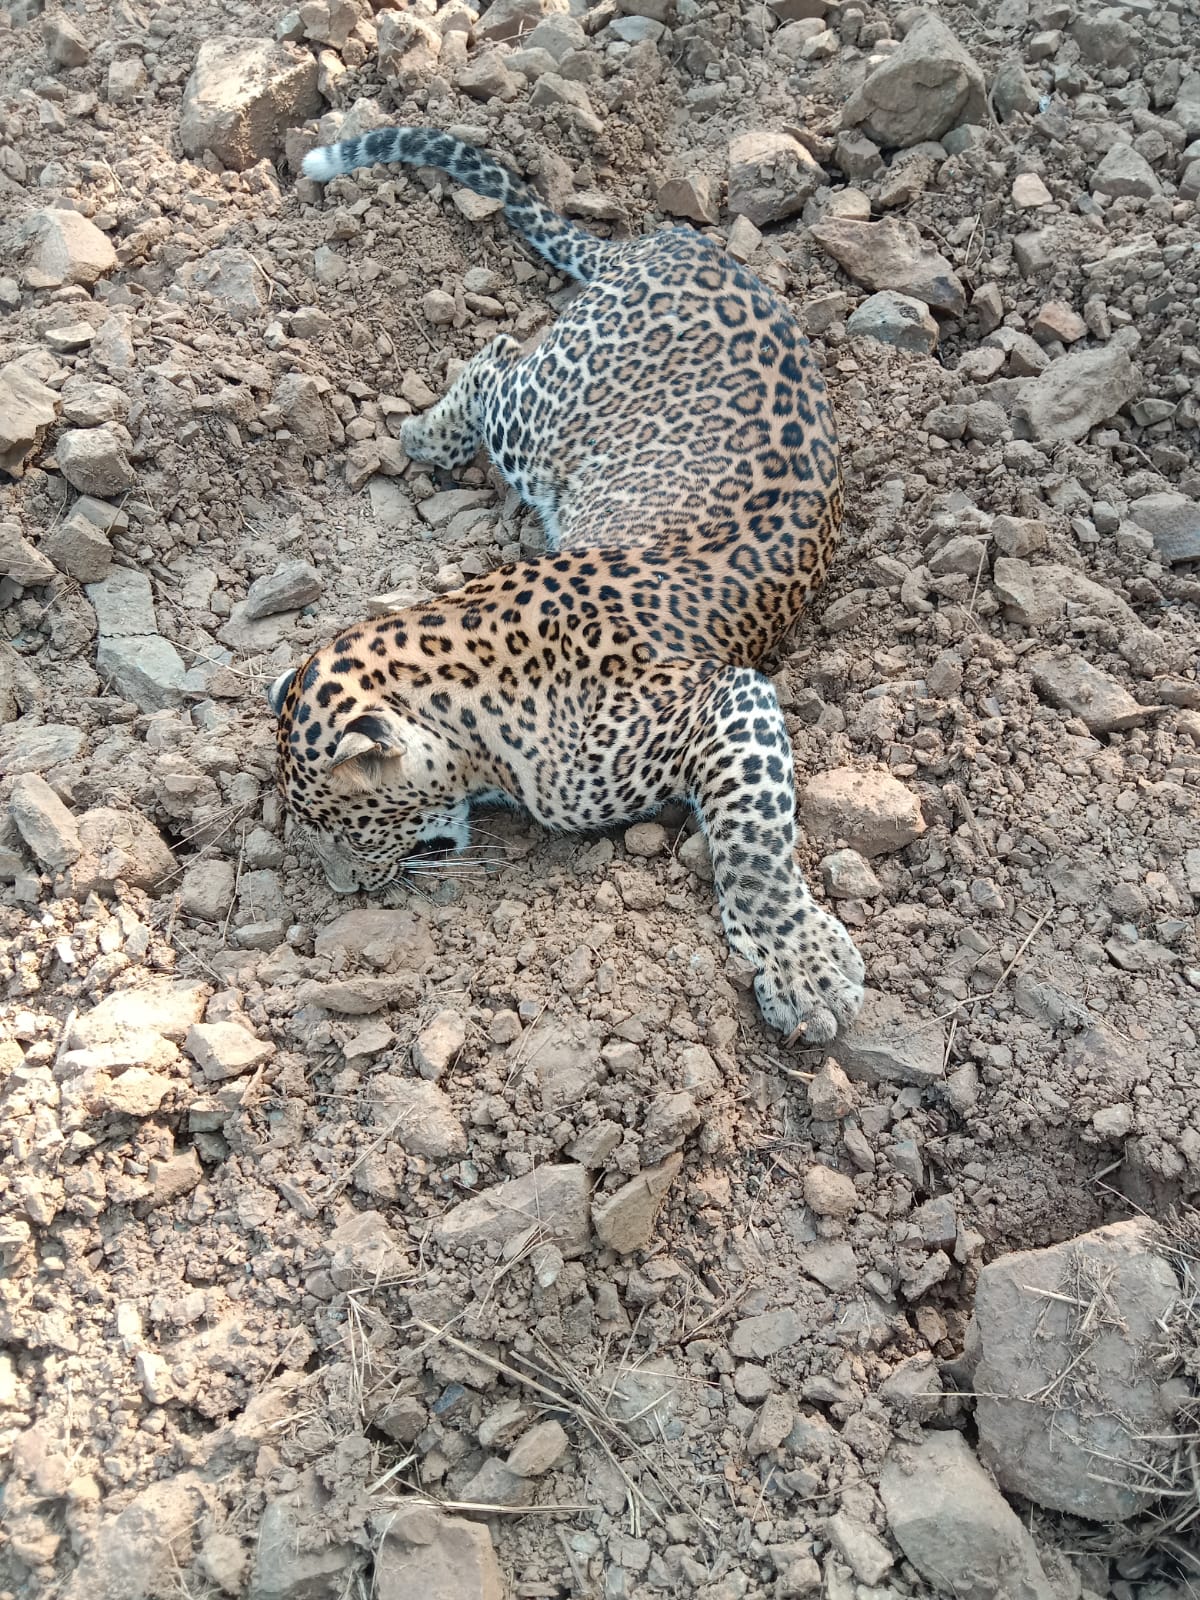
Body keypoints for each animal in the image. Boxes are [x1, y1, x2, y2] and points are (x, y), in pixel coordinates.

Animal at [270, 126, 866, 1045]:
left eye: (342, 828)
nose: (347, 890)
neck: (473, 711)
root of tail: (677, 243)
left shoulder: (727, 701)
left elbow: (755, 839)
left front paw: (807, 970)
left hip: (542, 425)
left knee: (494, 361)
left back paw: (426, 432)